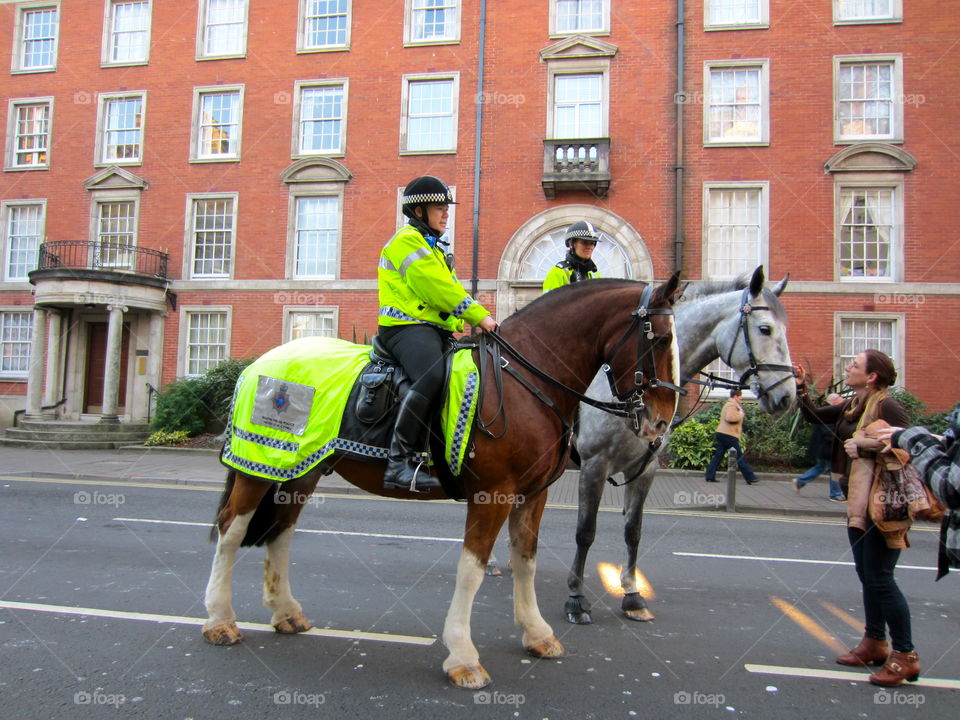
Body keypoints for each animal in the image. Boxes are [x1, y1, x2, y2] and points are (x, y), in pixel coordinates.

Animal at [202, 272, 684, 688]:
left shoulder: (533, 496)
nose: (662, 422)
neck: (523, 380)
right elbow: (471, 571)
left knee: (280, 532)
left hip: (300, 472)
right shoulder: (492, 496)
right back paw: (220, 619)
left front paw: (536, 633)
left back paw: (285, 612)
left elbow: (524, 562)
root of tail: (260, 364)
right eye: (660, 338)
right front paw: (463, 657)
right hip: (255, 468)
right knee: (232, 531)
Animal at [564, 264, 796, 624]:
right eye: (765, 328)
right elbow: (585, 531)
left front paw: (632, 595)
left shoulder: (645, 469)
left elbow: (633, 530)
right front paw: (576, 596)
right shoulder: (594, 465)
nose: (787, 396)